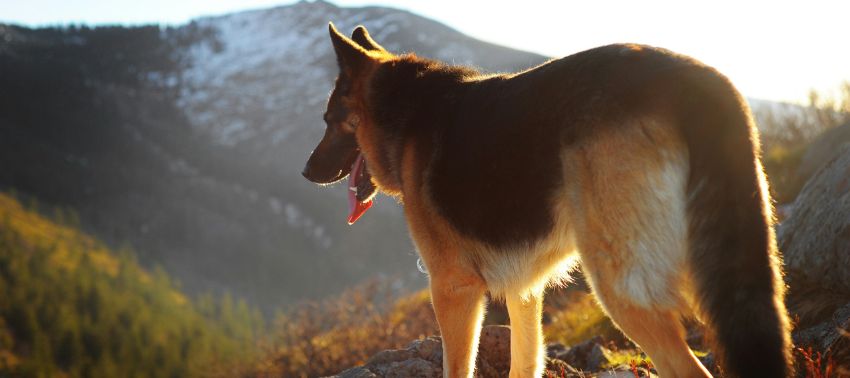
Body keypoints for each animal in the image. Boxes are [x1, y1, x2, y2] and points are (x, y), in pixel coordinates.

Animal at [304, 24, 788, 378]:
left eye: (328, 120)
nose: (307, 172)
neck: (404, 111)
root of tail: (696, 82)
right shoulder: (525, 291)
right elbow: (525, 359)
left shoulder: (452, 288)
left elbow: (457, 366)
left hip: (620, 284)